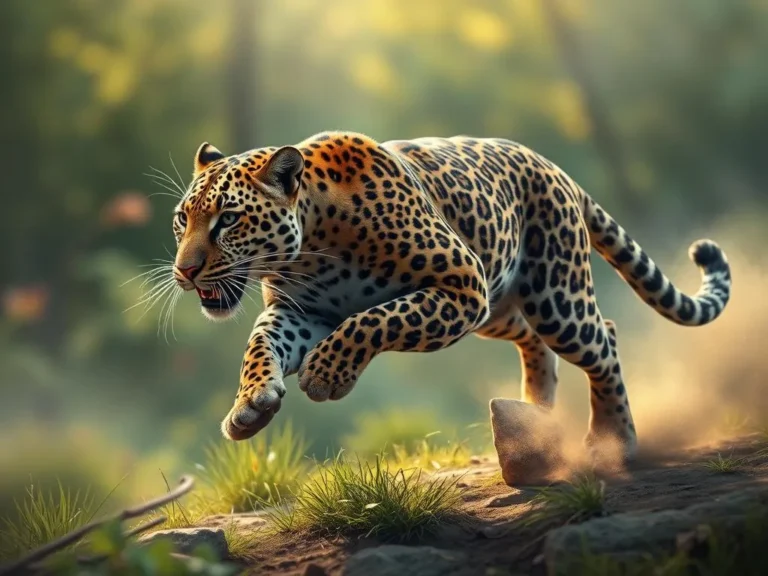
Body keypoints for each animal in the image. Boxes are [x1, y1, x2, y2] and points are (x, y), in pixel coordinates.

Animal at [170, 131, 731, 461]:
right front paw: (250, 405)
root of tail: (554, 168)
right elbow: (260, 344)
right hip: (501, 308)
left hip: (553, 297)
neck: (311, 246)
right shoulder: (298, 312)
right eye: (182, 218)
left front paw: (327, 375)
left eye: (228, 219)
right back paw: (535, 422)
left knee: (604, 341)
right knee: (541, 342)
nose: (184, 270)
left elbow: (374, 320)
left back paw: (613, 439)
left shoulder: (461, 283)